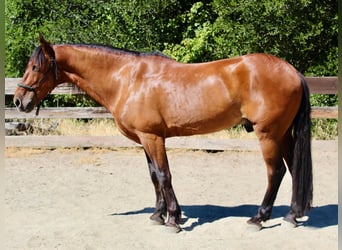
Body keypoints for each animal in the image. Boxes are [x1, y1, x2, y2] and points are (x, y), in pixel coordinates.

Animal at [14, 35, 312, 232]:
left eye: (36, 67)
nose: (18, 101)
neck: (128, 79)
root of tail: (292, 71)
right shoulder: (145, 139)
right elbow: (154, 176)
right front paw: (158, 215)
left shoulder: (153, 137)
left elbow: (164, 175)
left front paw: (172, 219)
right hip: (283, 134)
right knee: (293, 168)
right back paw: (292, 215)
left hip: (268, 134)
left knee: (275, 172)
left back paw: (259, 218)